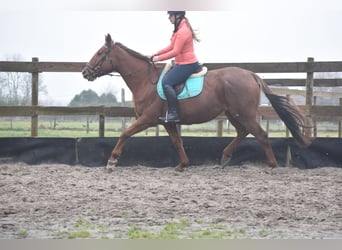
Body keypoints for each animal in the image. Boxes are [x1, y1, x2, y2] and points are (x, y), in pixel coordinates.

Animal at [81, 33, 312, 172]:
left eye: (100, 53)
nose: (85, 72)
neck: (146, 80)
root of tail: (250, 74)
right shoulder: (167, 122)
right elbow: (177, 142)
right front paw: (182, 165)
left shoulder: (148, 119)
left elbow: (125, 134)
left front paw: (111, 161)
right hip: (233, 113)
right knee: (242, 132)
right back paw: (225, 157)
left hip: (244, 113)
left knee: (261, 134)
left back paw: (271, 165)